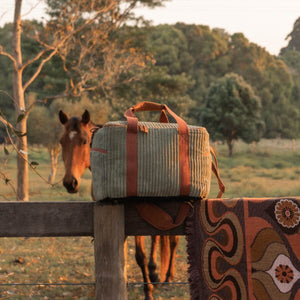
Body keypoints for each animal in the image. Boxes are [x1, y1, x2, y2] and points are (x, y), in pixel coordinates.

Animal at [59, 110, 179, 300]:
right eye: (61, 142)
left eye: (84, 141)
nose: (70, 183)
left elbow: (140, 256)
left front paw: (148, 292)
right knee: (157, 237)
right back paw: (155, 273)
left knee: (173, 241)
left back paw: (167, 277)